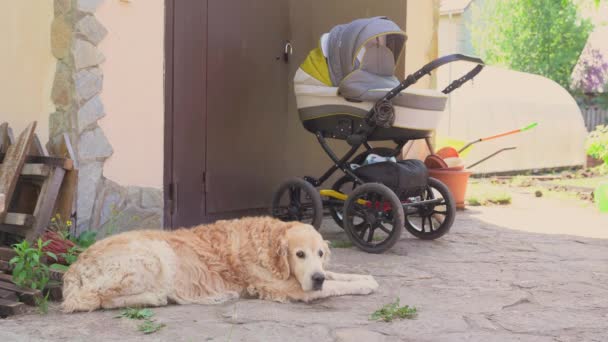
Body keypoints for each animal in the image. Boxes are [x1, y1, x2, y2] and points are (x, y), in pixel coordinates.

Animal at [63, 216, 380, 312]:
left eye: (321, 254)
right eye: (299, 254)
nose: (316, 277)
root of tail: (75, 267)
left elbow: (337, 276)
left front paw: (368, 279)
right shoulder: (289, 289)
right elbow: (335, 287)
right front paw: (363, 286)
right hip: (156, 254)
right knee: (98, 298)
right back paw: (157, 297)